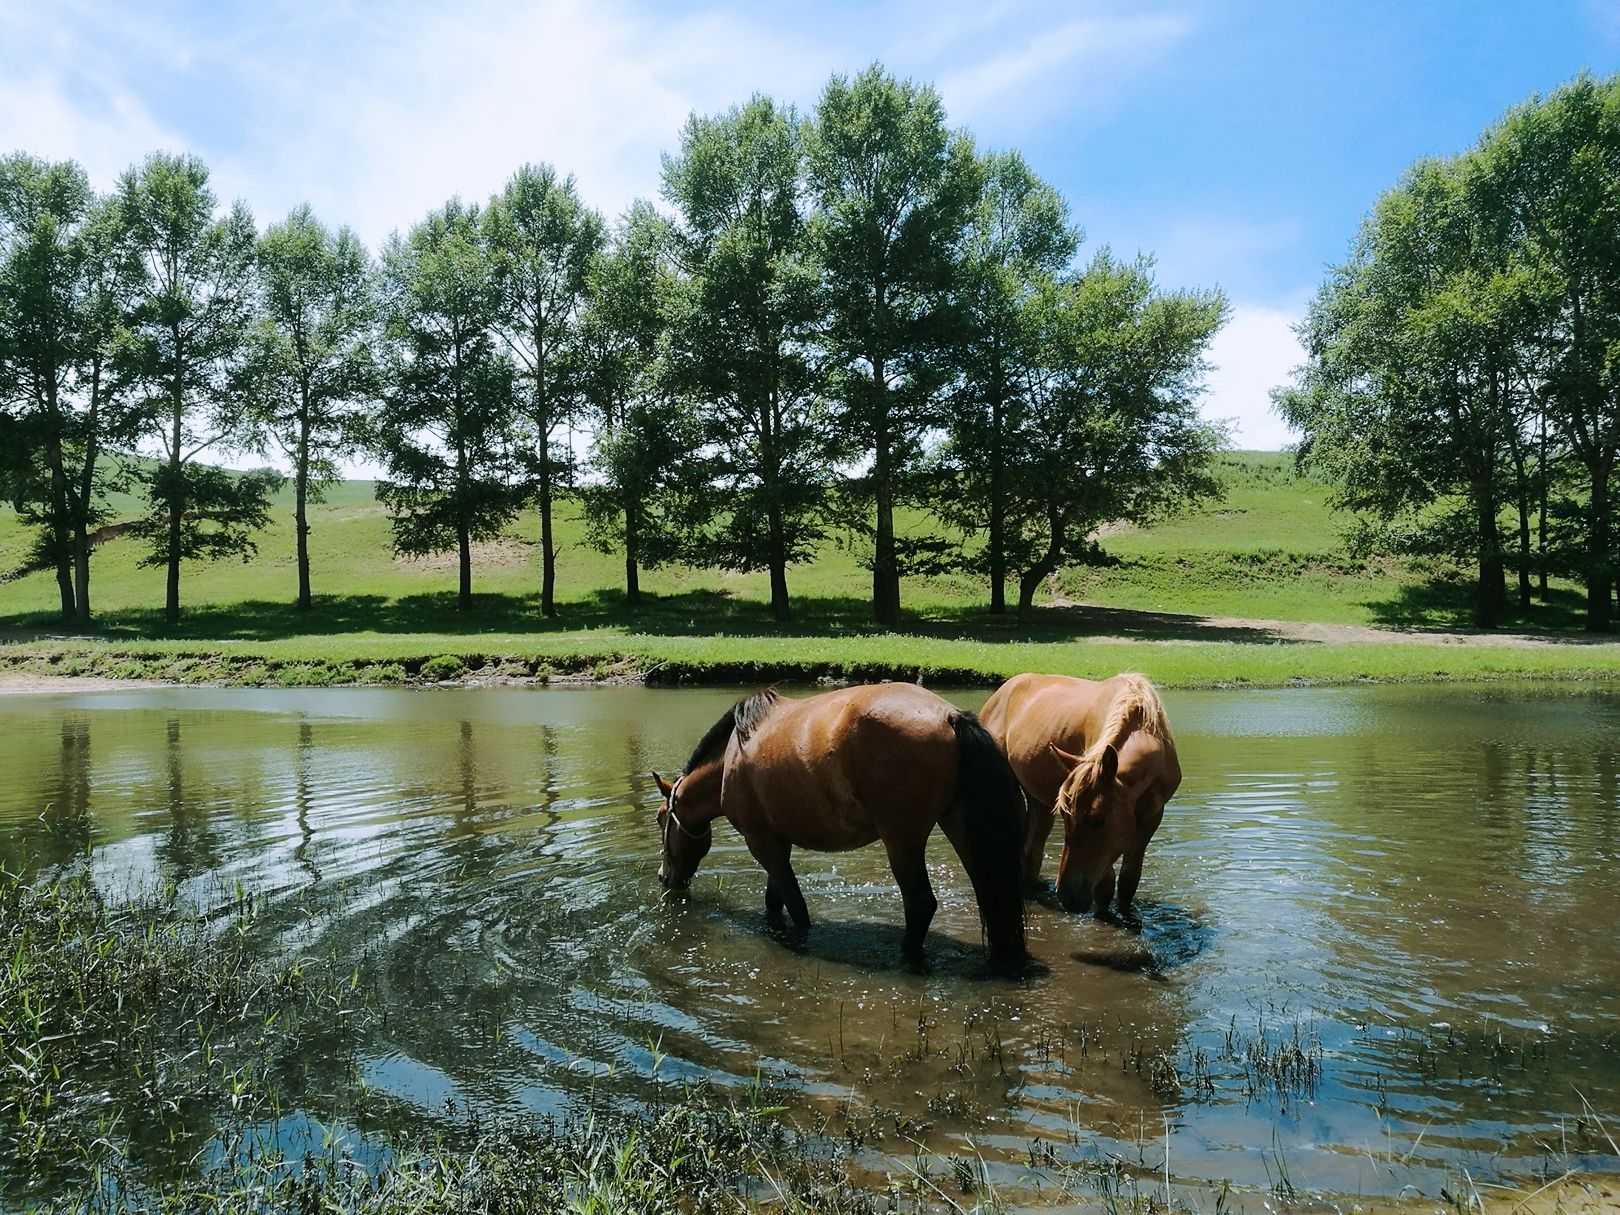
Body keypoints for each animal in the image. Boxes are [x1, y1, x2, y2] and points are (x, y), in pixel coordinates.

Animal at [651, 690, 1017, 965]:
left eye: (659, 817)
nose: (664, 877)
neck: (732, 756)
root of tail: (949, 715)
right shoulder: (777, 841)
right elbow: (775, 900)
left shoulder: (762, 842)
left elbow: (795, 905)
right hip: (960, 828)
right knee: (990, 895)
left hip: (902, 840)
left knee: (921, 904)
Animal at [978, 677, 1185, 913]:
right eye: (1066, 817)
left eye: (1098, 819)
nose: (1067, 895)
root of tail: (1000, 693)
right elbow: (1105, 887)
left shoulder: (1152, 816)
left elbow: (1128, 881)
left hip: (1038, 801)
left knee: (1033, 850)